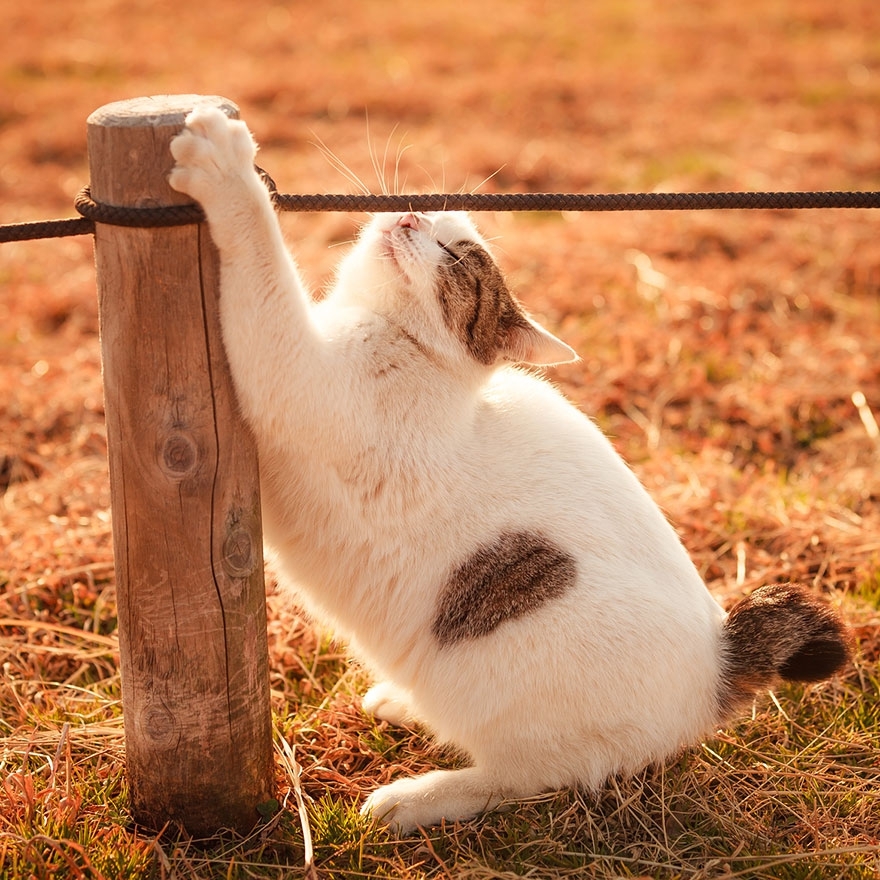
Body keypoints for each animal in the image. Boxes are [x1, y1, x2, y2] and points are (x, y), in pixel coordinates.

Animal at [167, 105, 852, 832]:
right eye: (427, 215)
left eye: (455, 258)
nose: (408, 218)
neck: (413, 353)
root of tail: (719, 663)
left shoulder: (289, 369)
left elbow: (262, 255)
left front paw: (229, 168)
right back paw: (404, 702)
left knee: (523, 779)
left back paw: (416, 798)